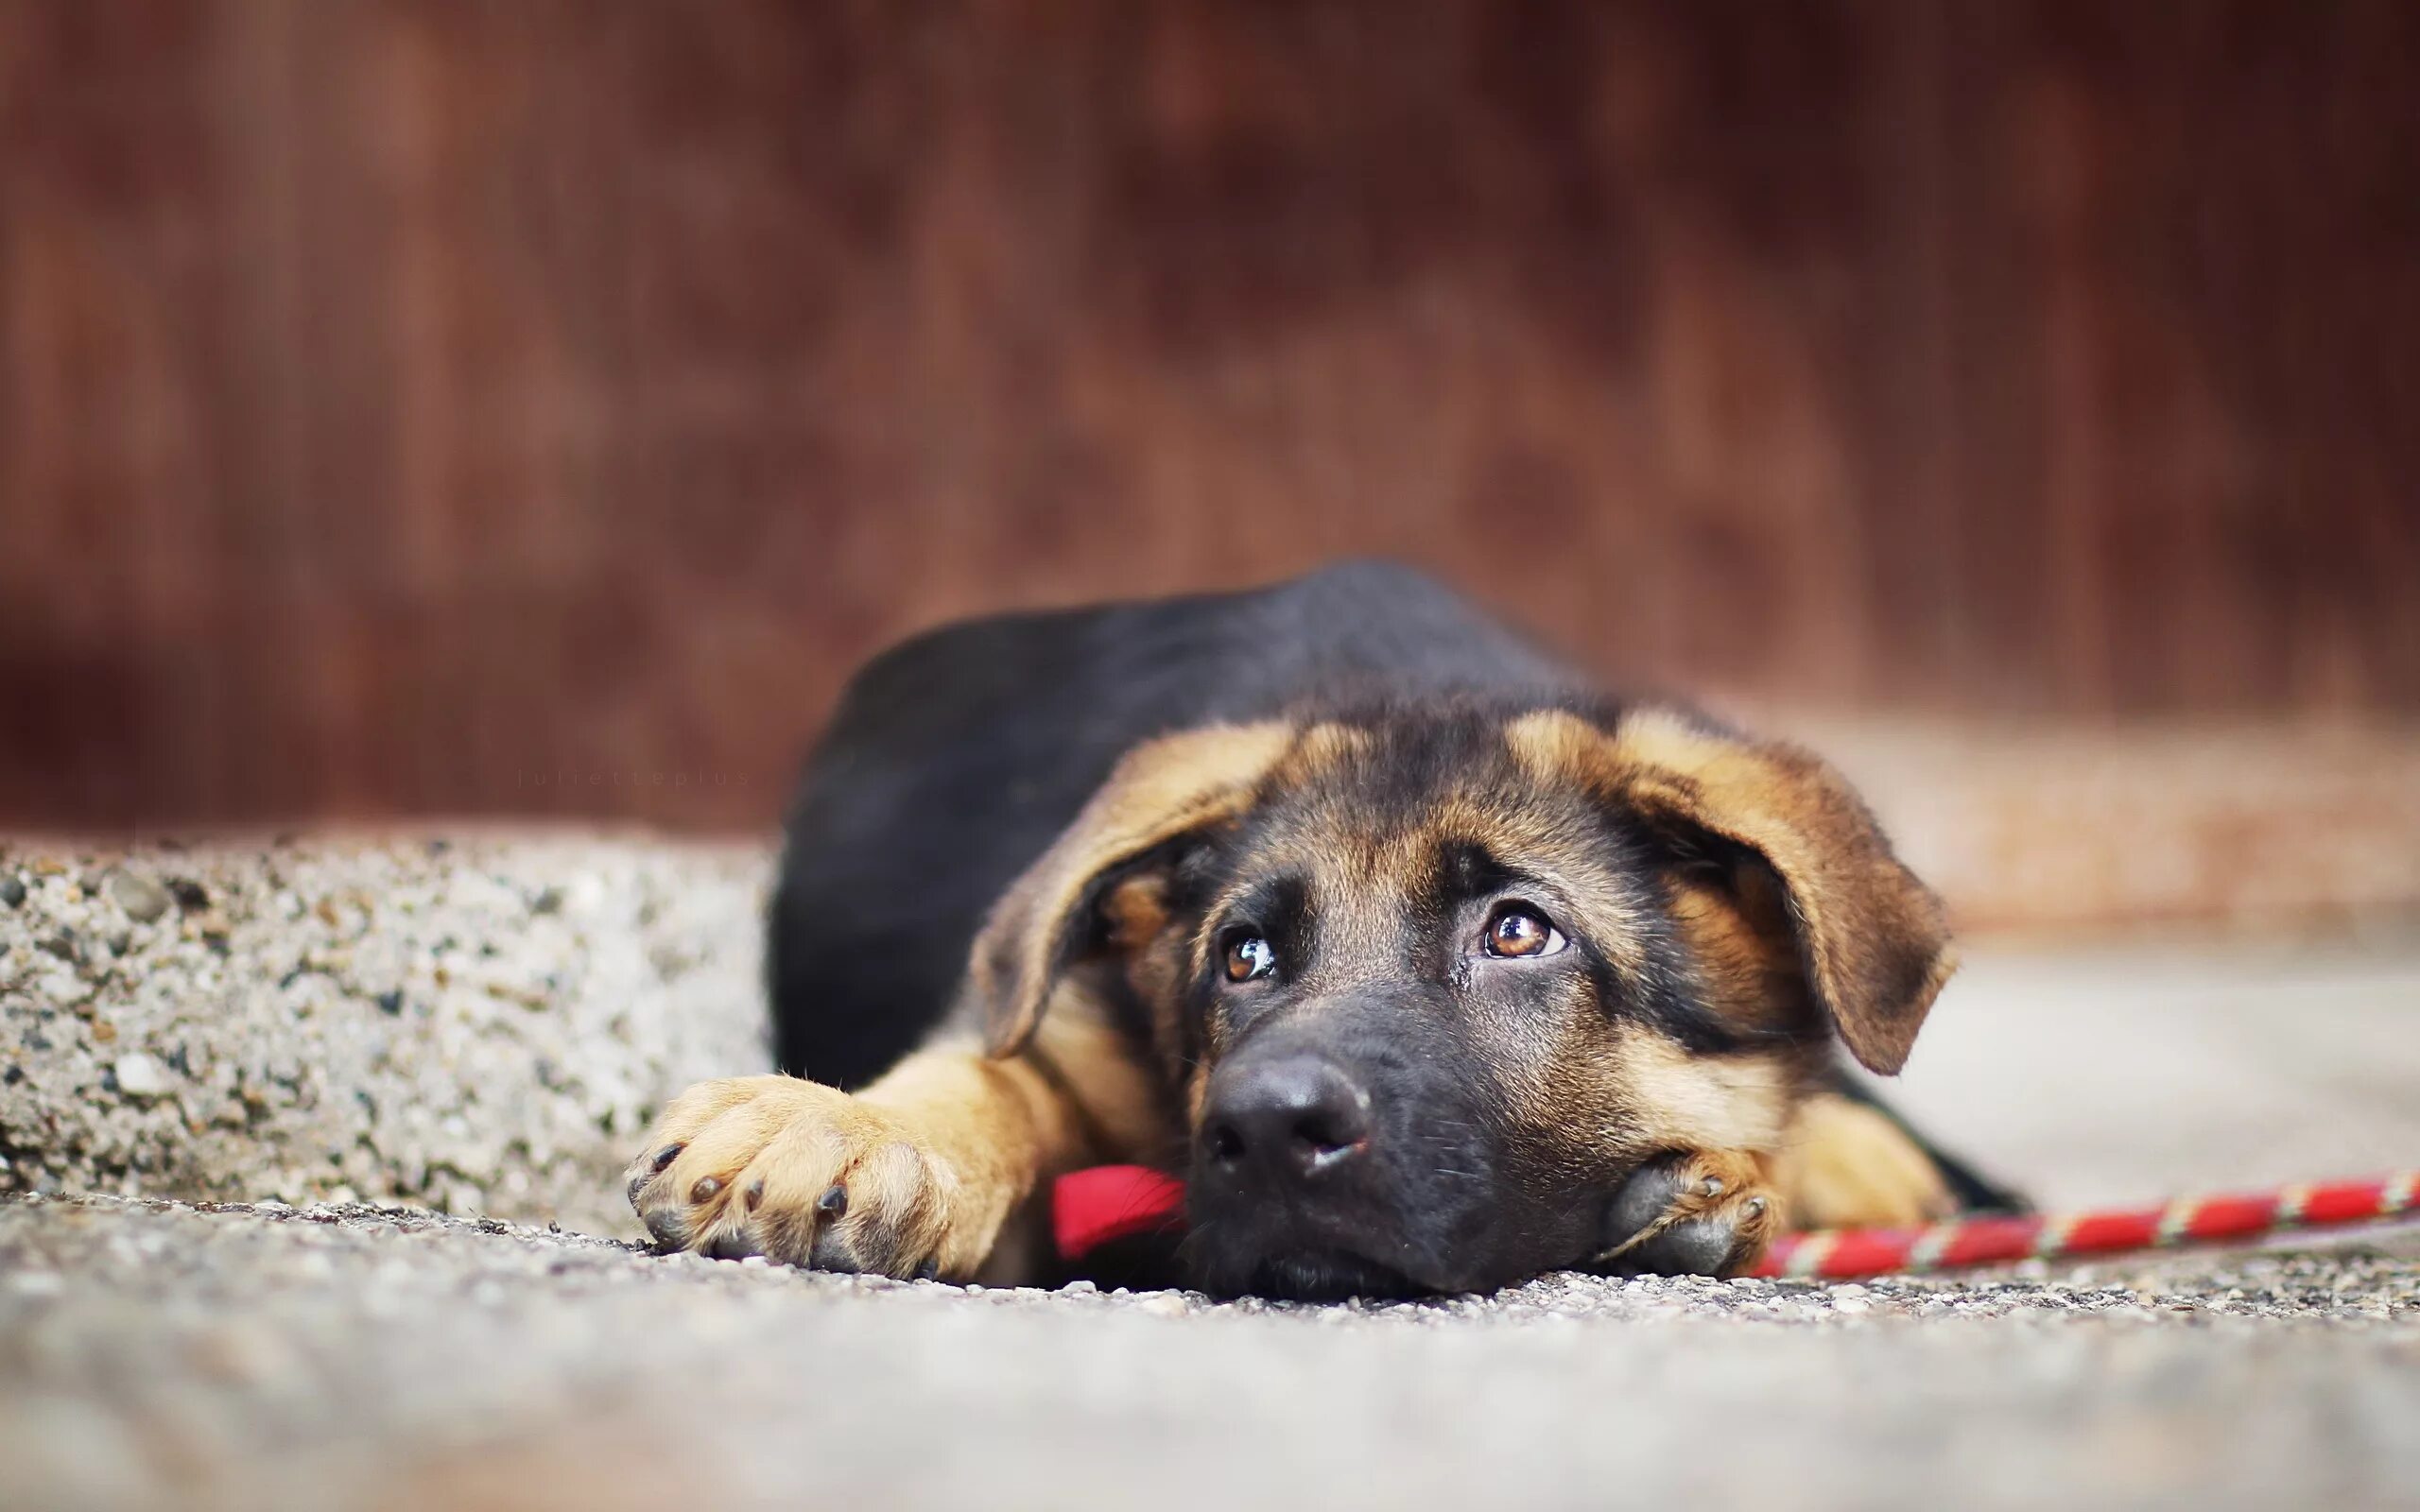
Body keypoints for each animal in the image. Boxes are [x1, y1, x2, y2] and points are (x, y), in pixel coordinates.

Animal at [619, 560, 2003, 1286]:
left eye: (1519, 932)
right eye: (1243, 957)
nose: (1269, 1133)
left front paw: (1741, 1171)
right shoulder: (1070, 1038)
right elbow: (984, 1076)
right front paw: (845, 1124)